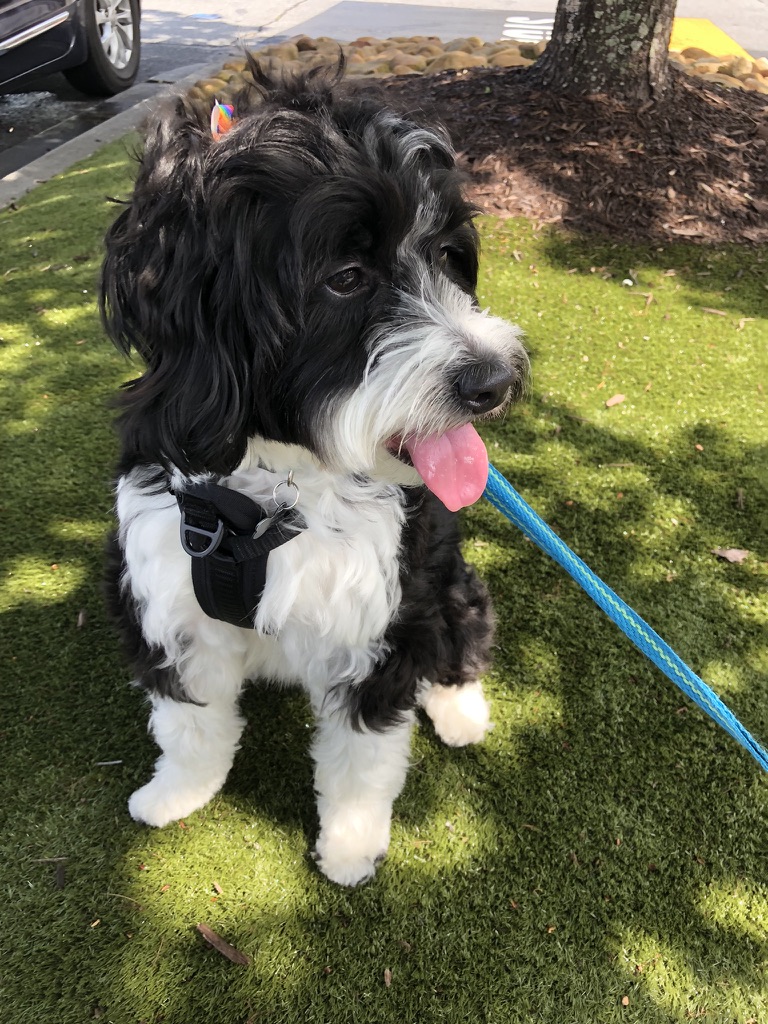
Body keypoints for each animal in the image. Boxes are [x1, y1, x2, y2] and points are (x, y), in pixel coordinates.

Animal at [103, 59, 528, 884]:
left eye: (448, 257)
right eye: (347, 277)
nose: (497, 381)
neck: (270, 496)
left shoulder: (380, 622)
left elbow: (362, 758)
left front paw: (351, 844)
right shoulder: (165, 598)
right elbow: (188, 723)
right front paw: (179, 792)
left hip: (448, 582)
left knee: (460, 640)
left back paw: (461, 711)